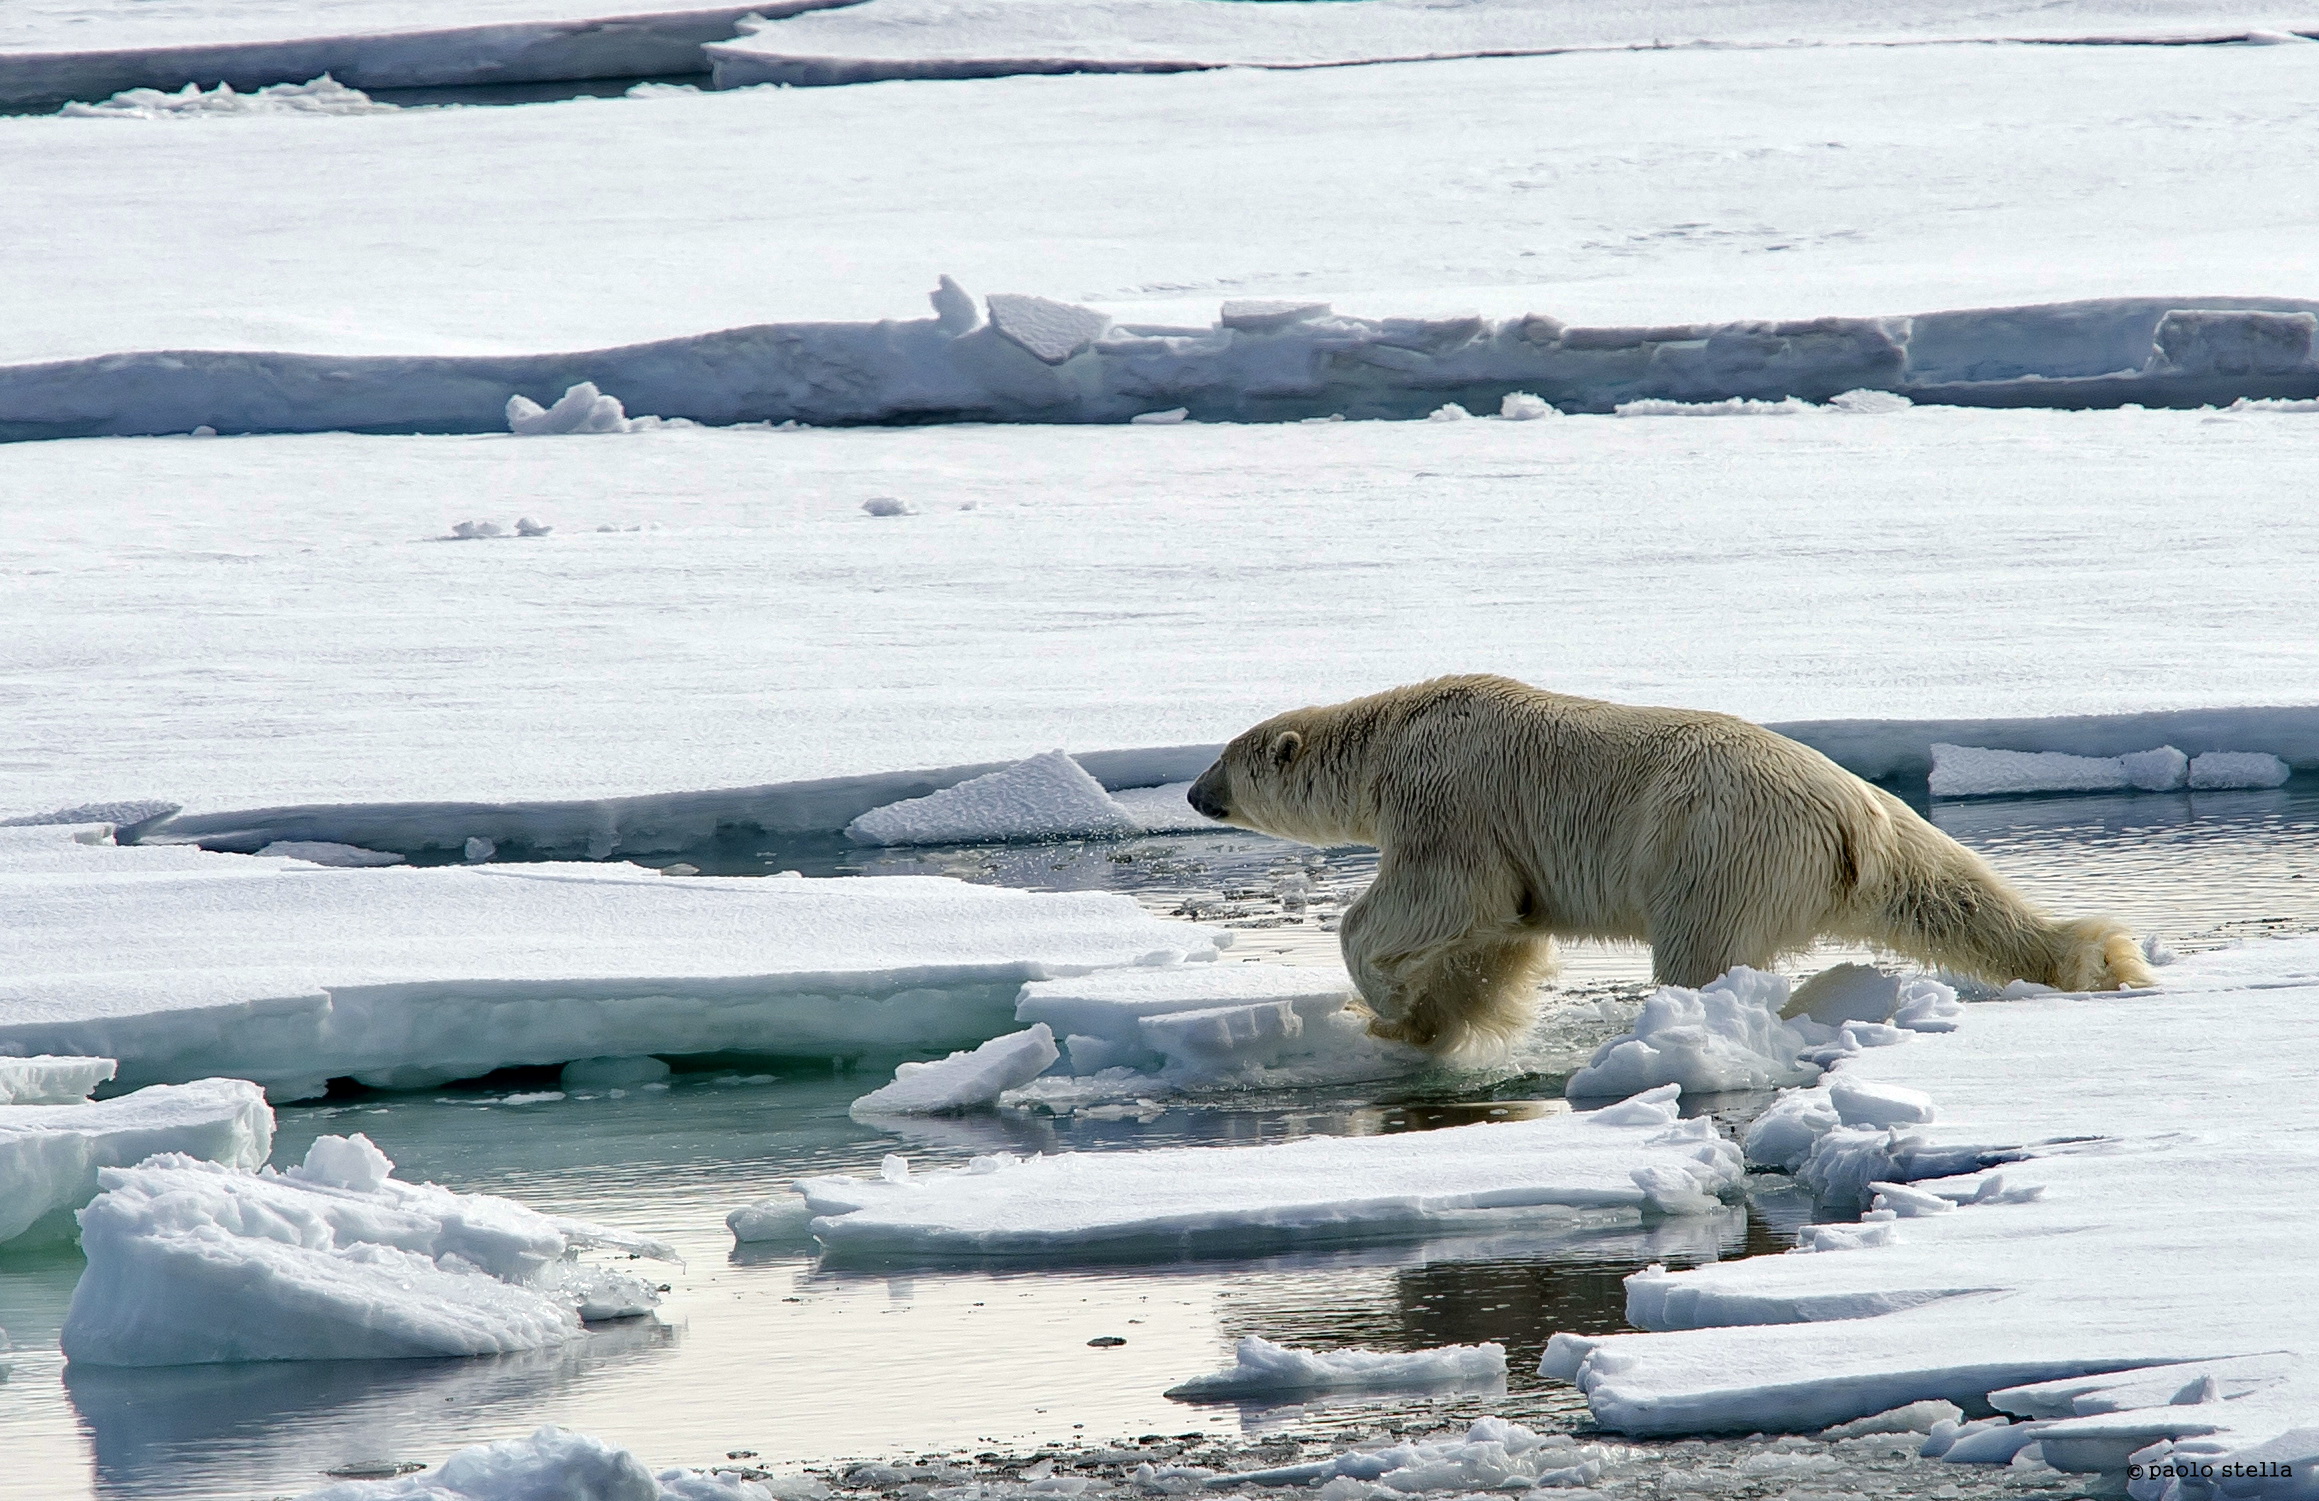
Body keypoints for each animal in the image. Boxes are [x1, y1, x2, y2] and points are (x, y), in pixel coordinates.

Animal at [1185, 674, 2153, 1056]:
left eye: (1223, 759)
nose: (1194, 794)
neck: (1395, 730)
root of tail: (1847, 814)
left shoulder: (1447, 797)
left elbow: (1438, 893)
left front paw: (1389, 1004)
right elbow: (1500, 927)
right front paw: (1441, 1016)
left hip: (1712, 843)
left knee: (1699, 947)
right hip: (1883, 835)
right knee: (1950, 892)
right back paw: (2094, 957)